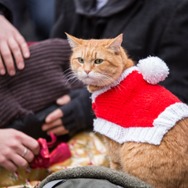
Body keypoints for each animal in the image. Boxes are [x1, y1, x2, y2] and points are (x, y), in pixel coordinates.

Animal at [65, 33, 188, 188]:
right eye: (80, 60)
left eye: (98, 61)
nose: (86, 71)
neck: (117, 80)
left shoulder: (112, 134)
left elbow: (114, 166)